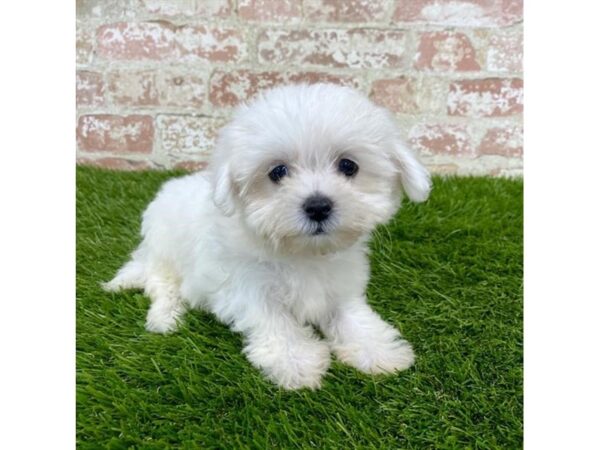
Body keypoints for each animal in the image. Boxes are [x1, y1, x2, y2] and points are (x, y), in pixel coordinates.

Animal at [104, 85, 432, 390]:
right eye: (278, 172)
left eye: (348, 166)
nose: (318, 206)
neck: (303, 253)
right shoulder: (245, 286)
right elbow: (275, 320)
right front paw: (296, 362)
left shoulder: (339, 284)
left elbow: (351, 315)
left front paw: (376, 349)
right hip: (165, 251)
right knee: (162, 285)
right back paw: (165, 318)